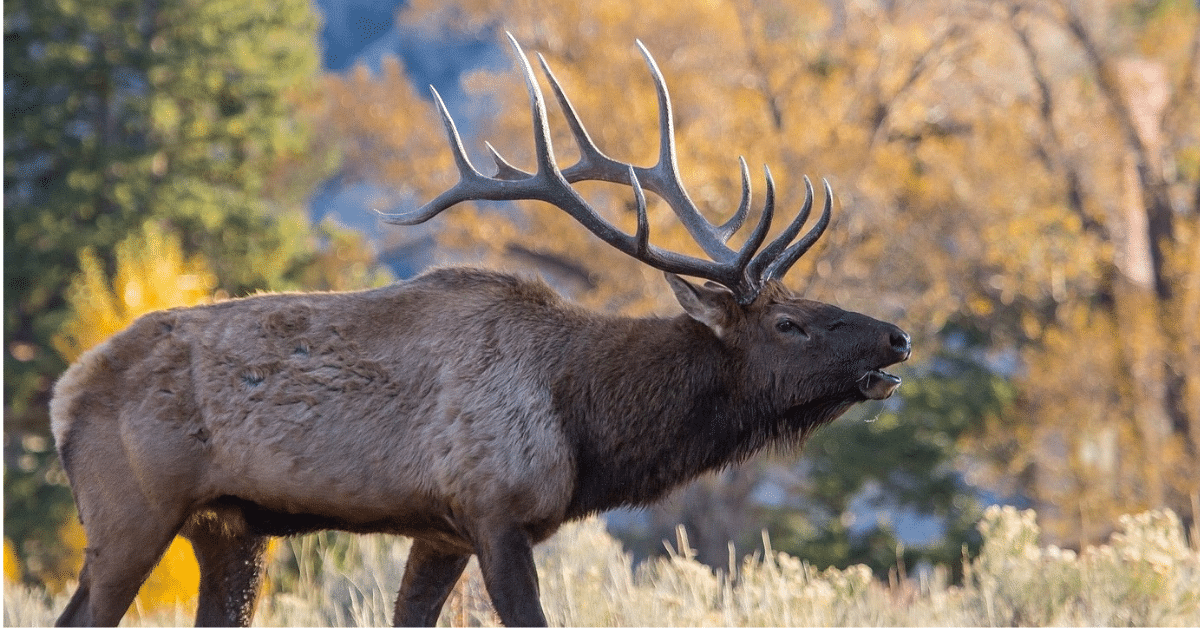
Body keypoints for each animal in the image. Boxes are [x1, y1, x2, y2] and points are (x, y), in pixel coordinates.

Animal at [50, 34, 910, 627]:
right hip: (129, 511)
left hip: (229, 527)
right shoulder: (496, 509)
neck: (586, 421)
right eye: (791, 323)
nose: (898, 337)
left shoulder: (443, 530)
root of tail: (63, 394)